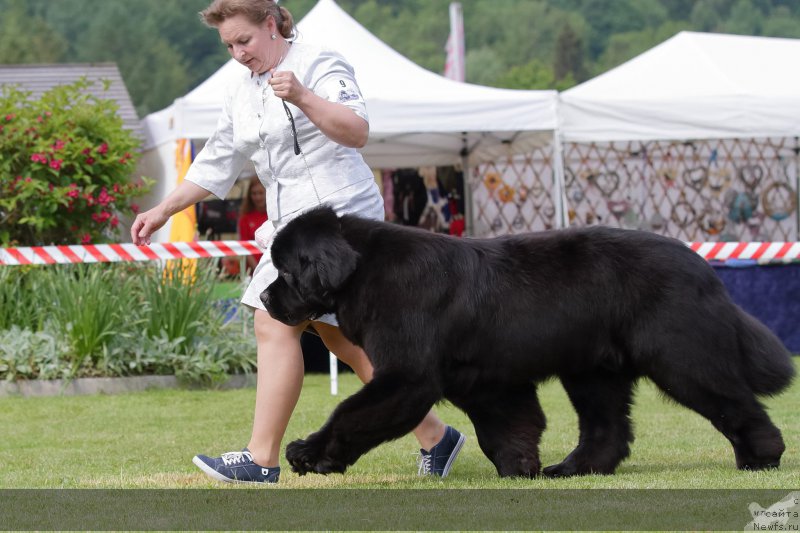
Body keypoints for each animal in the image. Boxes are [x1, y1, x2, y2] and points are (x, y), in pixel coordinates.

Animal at [262, 206, 792, 476]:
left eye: (286, 272)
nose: (265, 298)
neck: (366, 271)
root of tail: (701, 265)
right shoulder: (486, 381)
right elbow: (507, 427)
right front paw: (521, 467)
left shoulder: (407, 376)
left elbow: (350, 413)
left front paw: (309, 454)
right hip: (593, 371)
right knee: (608, 429)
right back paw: (573, 468)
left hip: (679, 356)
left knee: (732, 402)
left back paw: (760, 457)